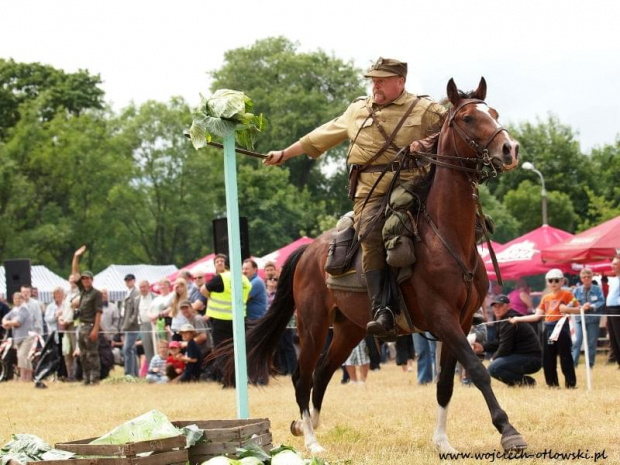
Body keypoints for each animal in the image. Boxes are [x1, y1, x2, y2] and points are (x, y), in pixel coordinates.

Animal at [220, 79, 520, 454]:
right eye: (467, 118)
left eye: (493, 113)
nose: (510, 149)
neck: (447, 237)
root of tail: (308, 251)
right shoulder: (443, 319)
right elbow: (478, 370)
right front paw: (508, 430)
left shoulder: (463, 321)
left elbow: (446, 383)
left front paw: (443, 443)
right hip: (312, 325)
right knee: (302, 376)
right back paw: (312, 440)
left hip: (349, 329)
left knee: (322, 372)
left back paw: (309, 424)